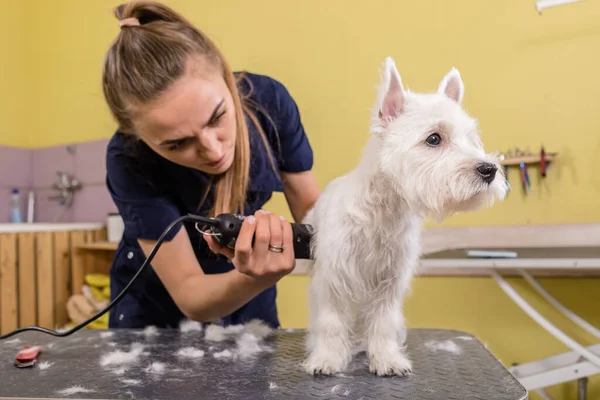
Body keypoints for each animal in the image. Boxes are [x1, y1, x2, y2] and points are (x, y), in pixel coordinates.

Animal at [302, 57, 504, 376]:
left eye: (471, 138)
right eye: (434, 138)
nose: (489, 169)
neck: (382, 211)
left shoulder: (390, 281)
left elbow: (383, 323)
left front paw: (387, 359)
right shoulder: (334, 277)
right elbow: (331, 322)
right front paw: (326, 360)